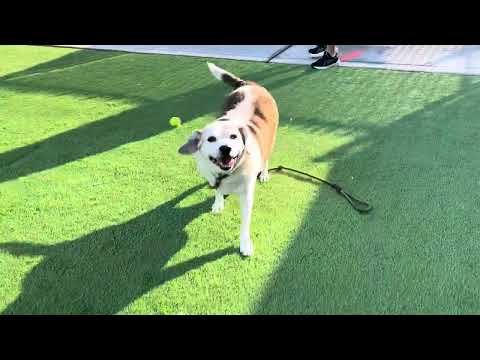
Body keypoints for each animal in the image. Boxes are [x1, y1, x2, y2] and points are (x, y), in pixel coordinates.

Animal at [178, 63, 280, 258]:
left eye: (234, 137)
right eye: (211, 139)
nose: (225, 148)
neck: (229, 173)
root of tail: (247, 84)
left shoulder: (246, 196)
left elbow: (245, 223)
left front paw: (245, 244)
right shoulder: (211, 177)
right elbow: (217, 190)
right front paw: (218, 203)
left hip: (270, 137)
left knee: (266, 157)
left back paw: (264, 173)